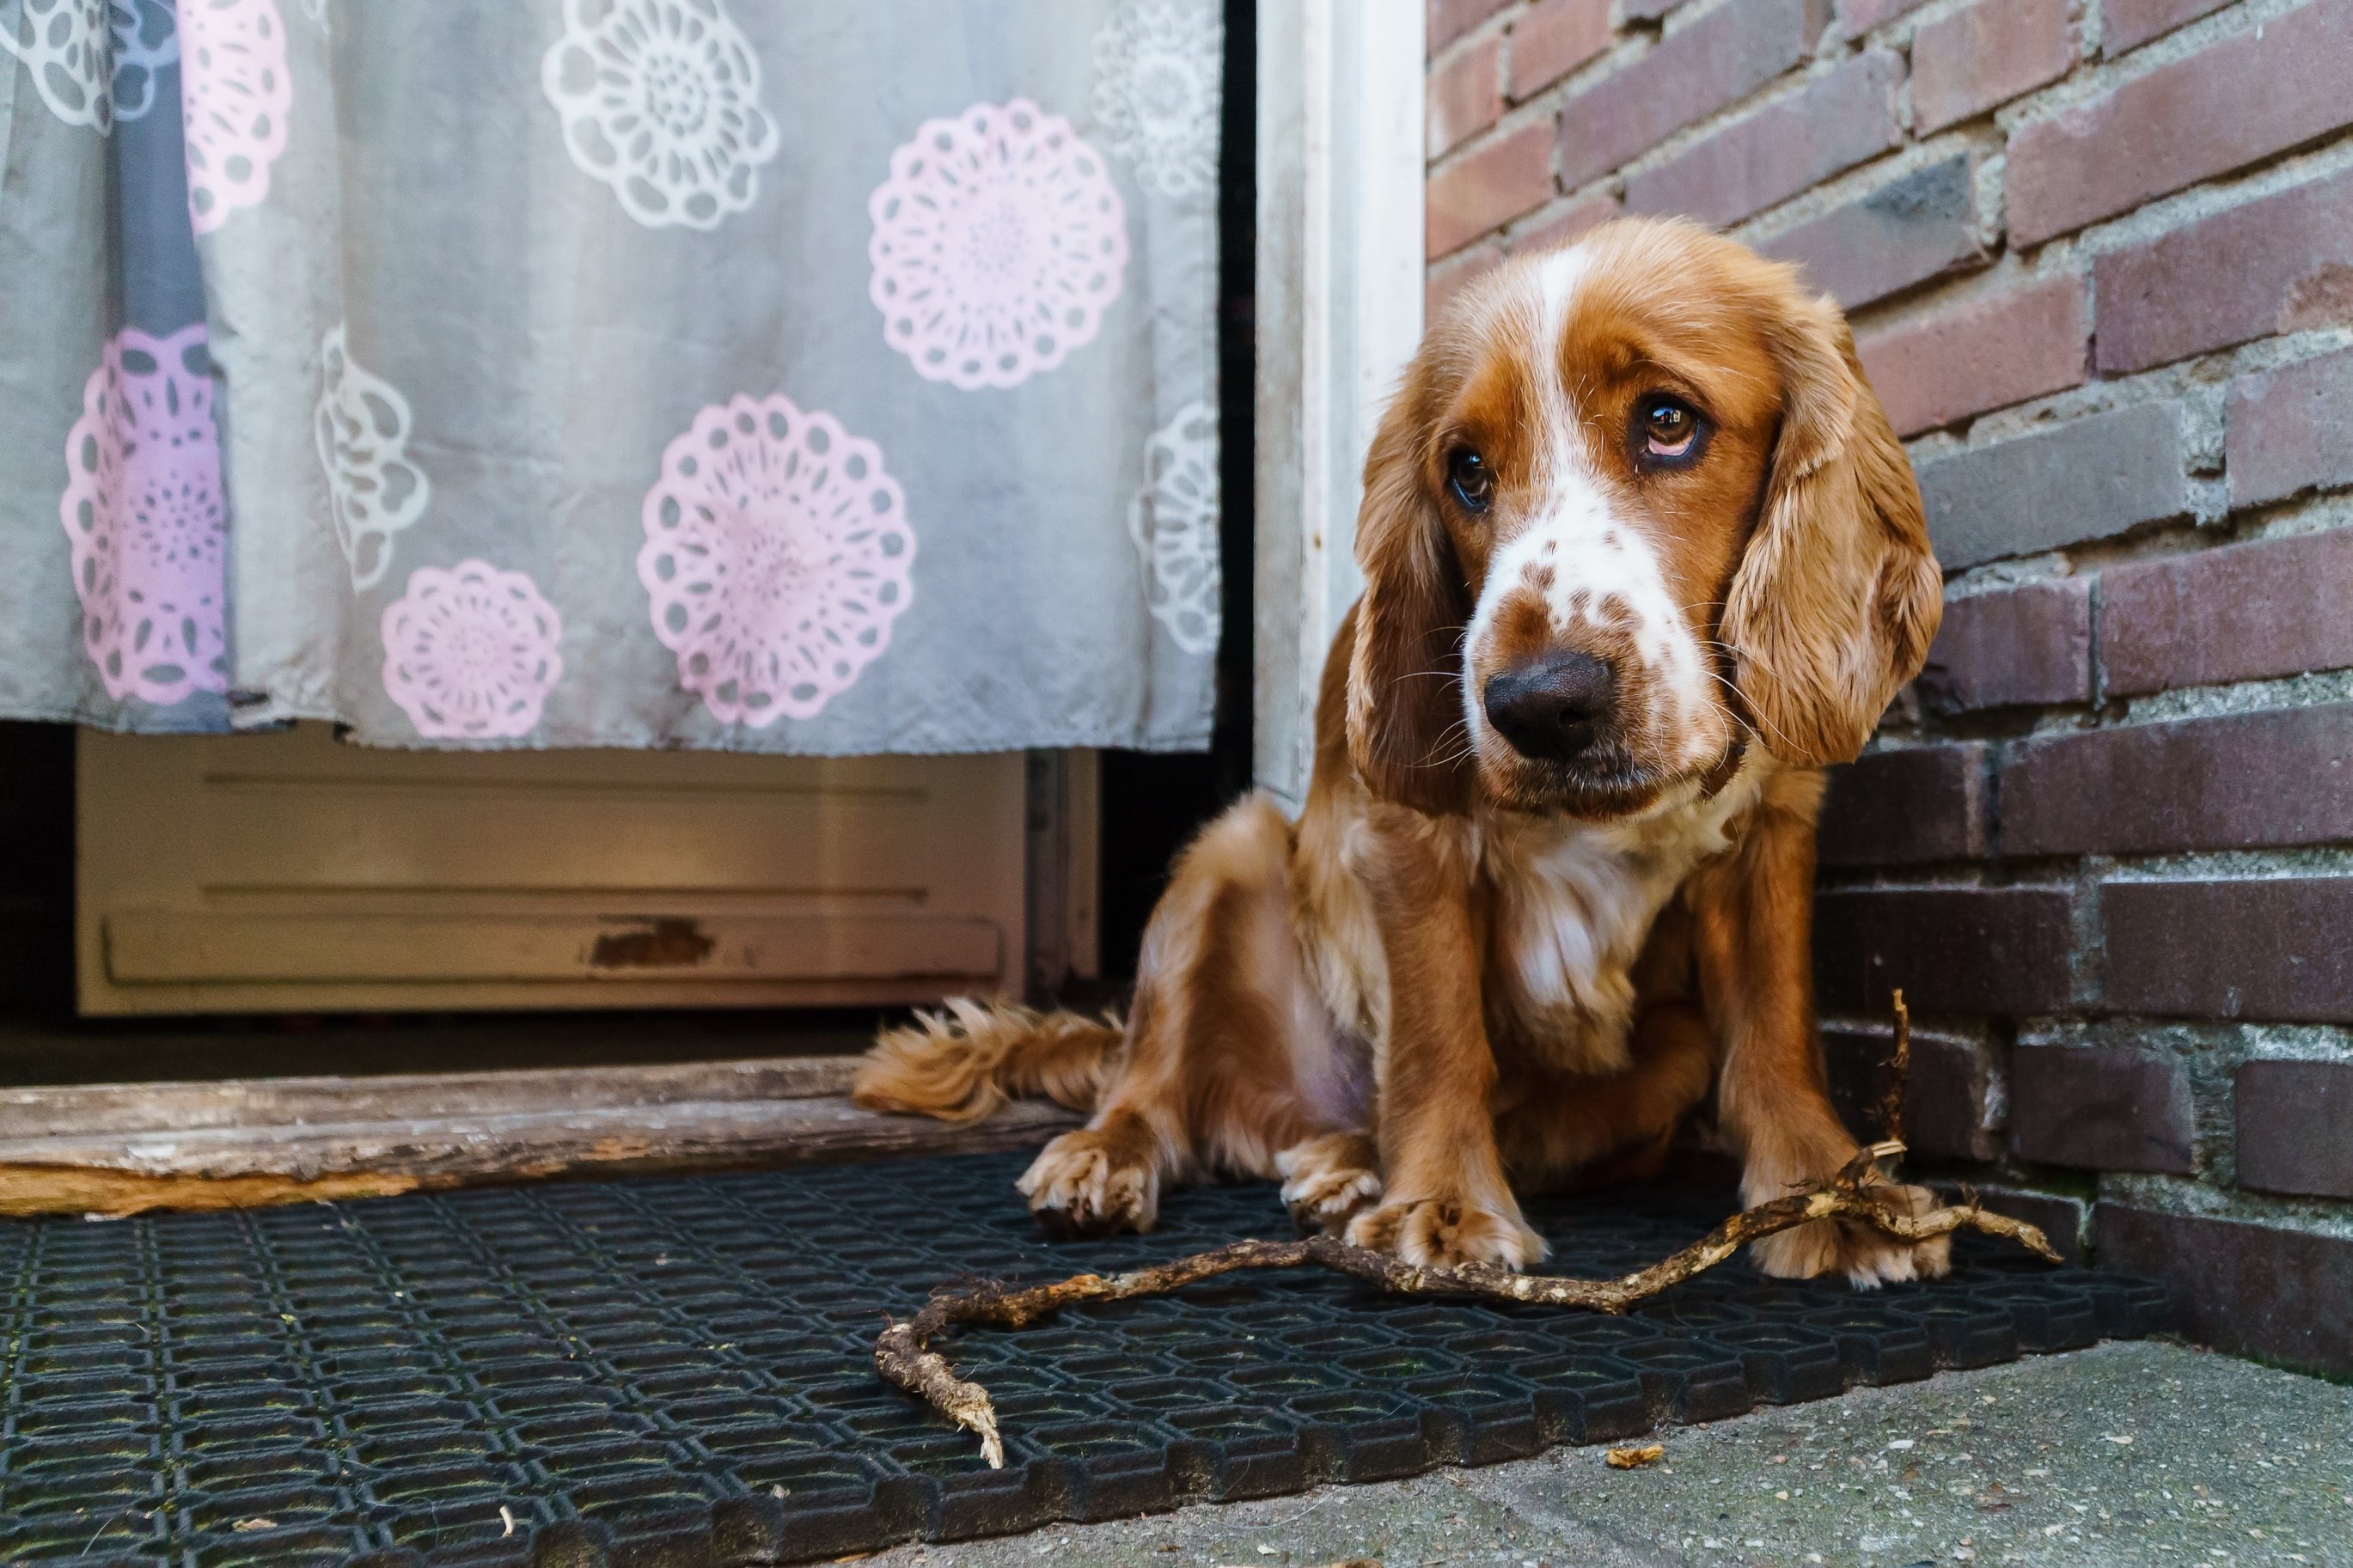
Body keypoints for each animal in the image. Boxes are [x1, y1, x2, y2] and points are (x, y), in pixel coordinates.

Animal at [856, 223, 1939, 1297]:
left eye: (1667, 421)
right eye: (1466, 470)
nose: (1538, 705)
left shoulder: (1770, 834)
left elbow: (1776, 1030)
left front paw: (1831, 1197)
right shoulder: (1409, 840)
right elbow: (1434, 1033)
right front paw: (1442, 1207)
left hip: (1665, 1052)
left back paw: (1343, 1169)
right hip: (1227, 853)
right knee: (1150, 1076)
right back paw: (1114, 1156)